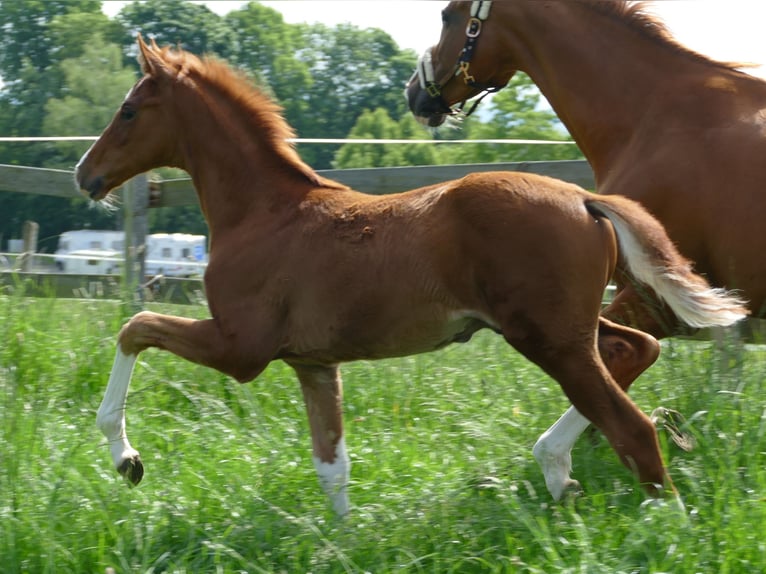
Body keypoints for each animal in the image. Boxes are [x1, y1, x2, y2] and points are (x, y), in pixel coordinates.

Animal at [76, 35, 746, 515]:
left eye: (129, 111)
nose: (86, 174)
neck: (265, 212)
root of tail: (586, 199)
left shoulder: (241, 348)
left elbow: (135, 327)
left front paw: (126, 457)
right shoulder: (313, 363)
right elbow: (332, 466)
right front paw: (342, 546)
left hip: (549, 338)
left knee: (633, 427)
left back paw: (658, 525)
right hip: (565, 329)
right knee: (636, 348)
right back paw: (559, 471)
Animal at [406, 0, 766, 500]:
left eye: (445, 15)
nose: (414, 95)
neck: (652, 118)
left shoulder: (658, 297)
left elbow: (616, 362)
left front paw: (564, 464)